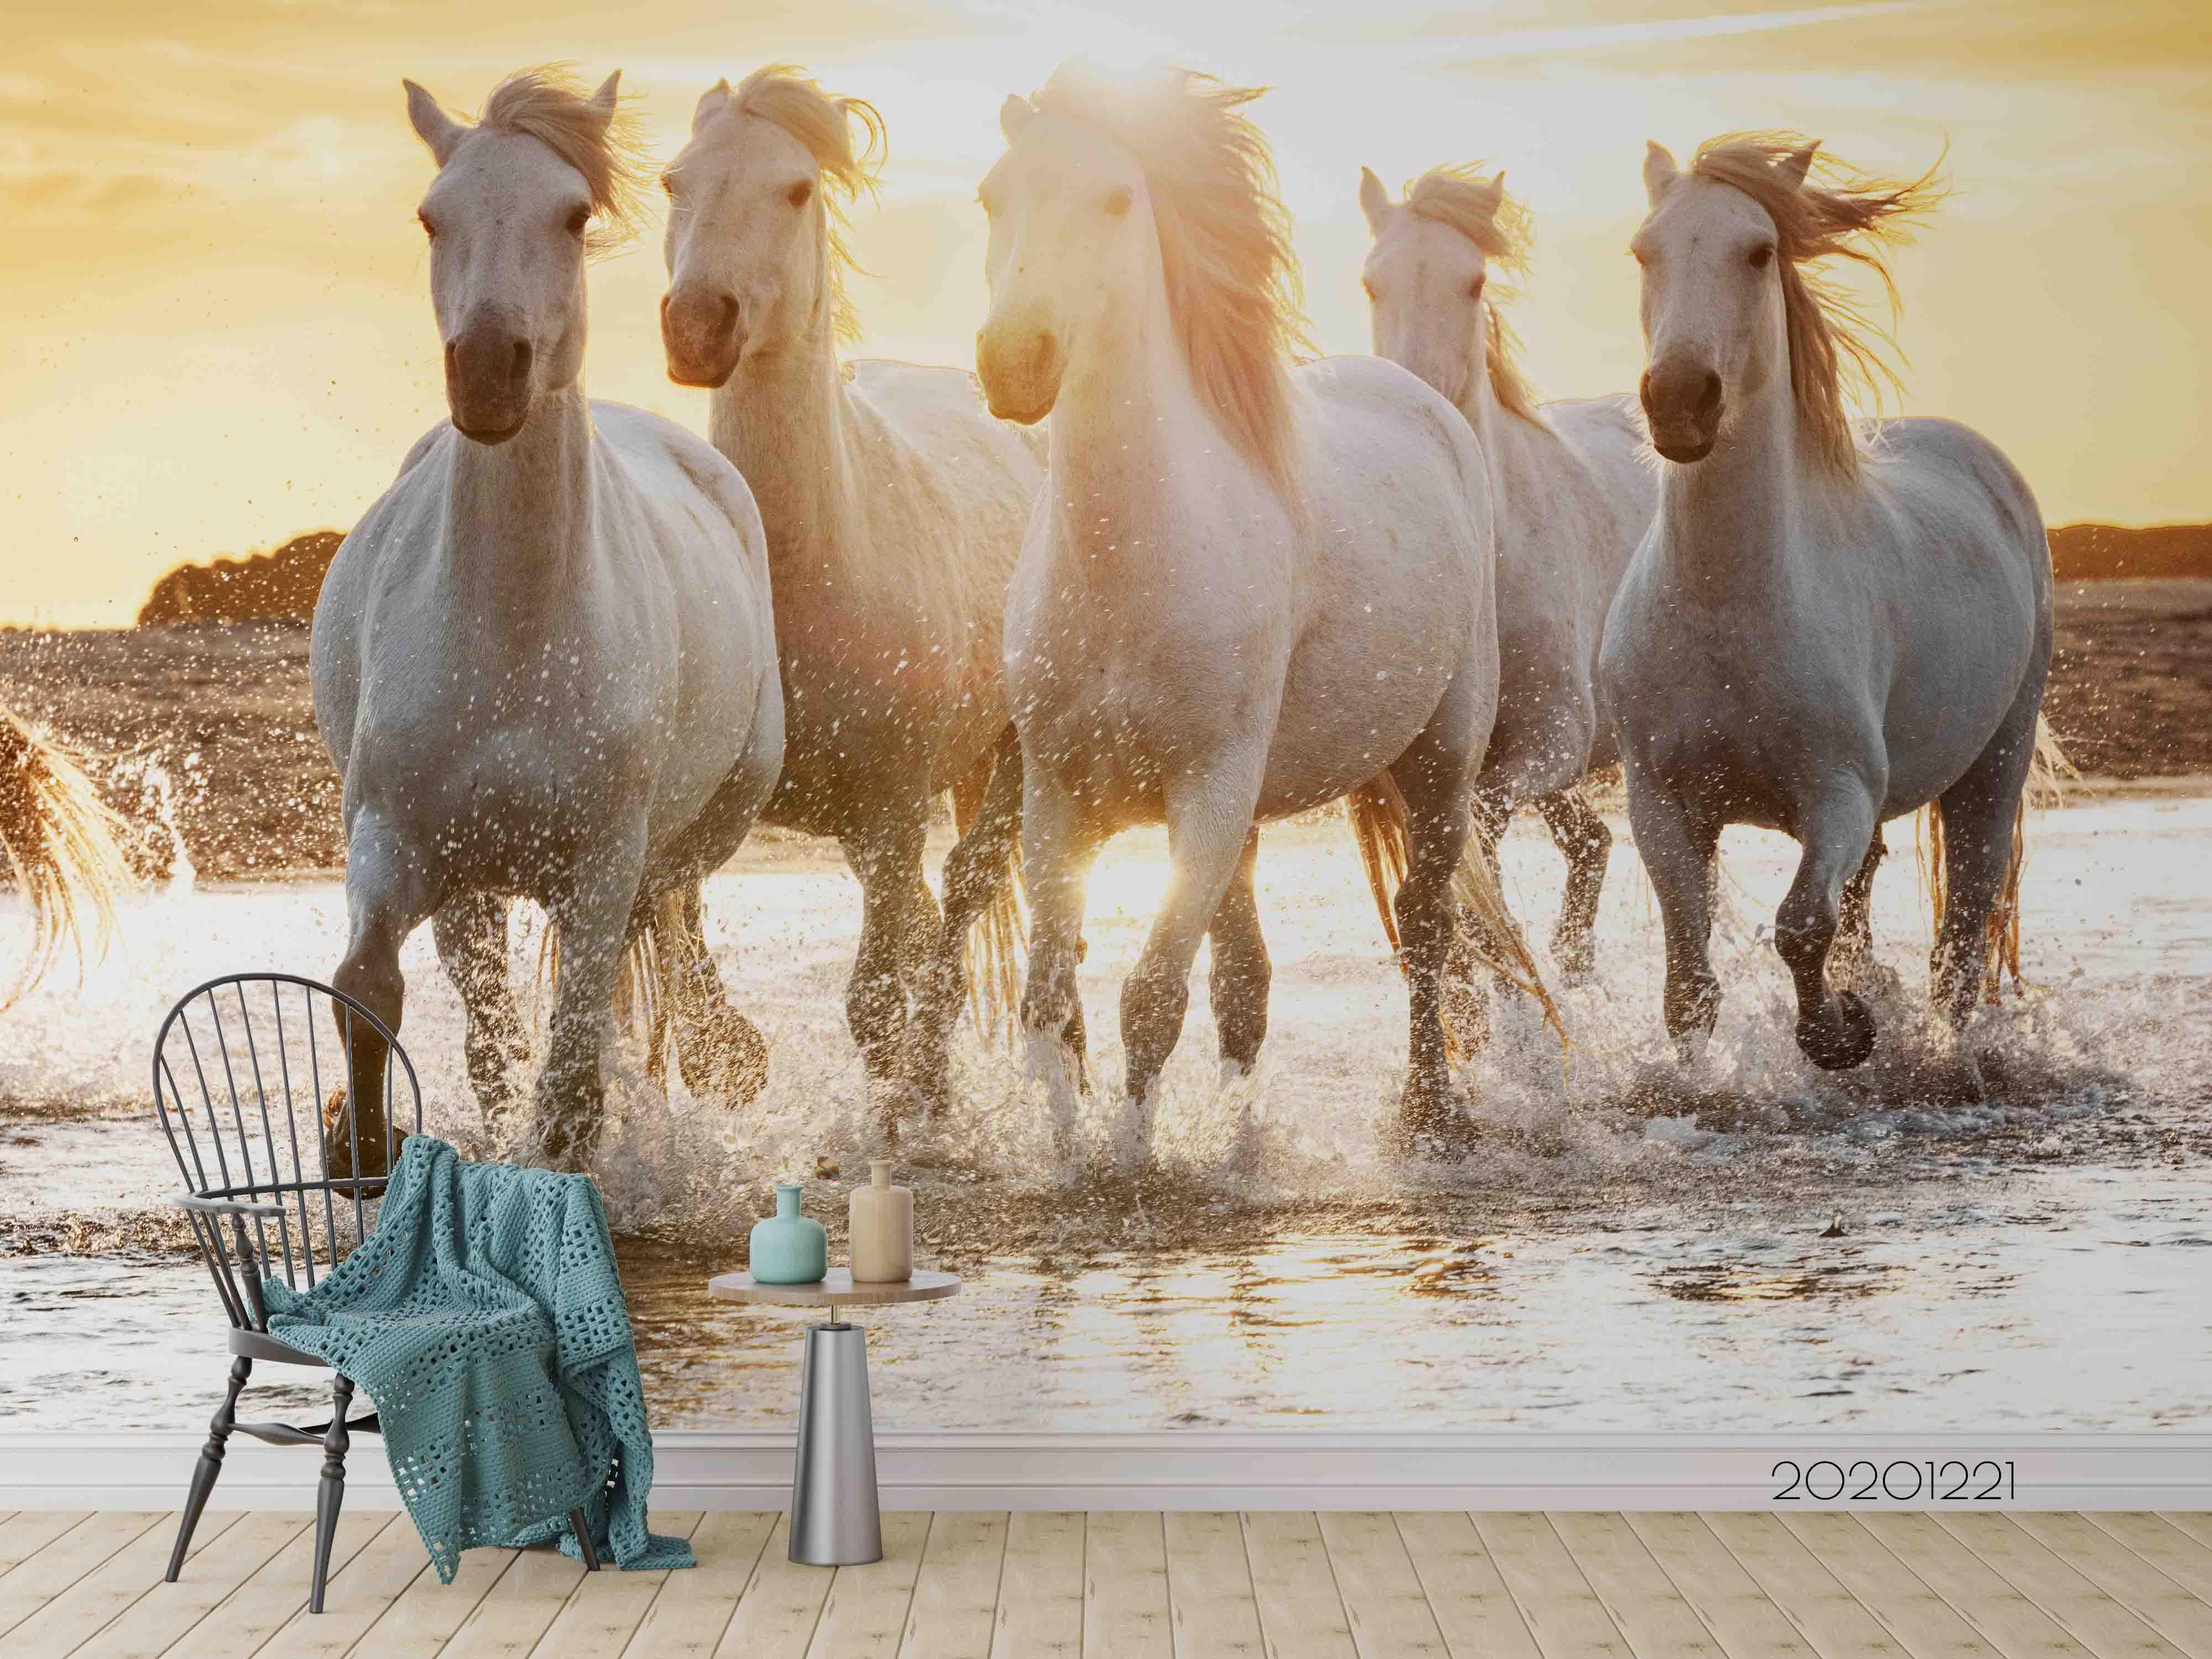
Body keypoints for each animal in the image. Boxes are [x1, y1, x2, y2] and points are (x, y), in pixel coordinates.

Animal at [312, 68, 784, 1173]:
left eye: (572, 215)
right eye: (431, 217)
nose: (491, 370)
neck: (517, 634)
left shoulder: (602, 864)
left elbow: (573, 1065)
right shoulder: (397, 838)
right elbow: (370, 988)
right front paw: (359, 1141)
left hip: (707, 818)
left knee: (672, 929)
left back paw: (719, 1053)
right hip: (475, 886)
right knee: (494, 1013)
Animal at [659, 66, 1039, 1129]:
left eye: (794, 190)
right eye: (672, 181)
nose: (696, 327)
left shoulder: (894, 805)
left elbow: (875, 1000)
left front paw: (901, 1115)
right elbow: (677, 931)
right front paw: (726, 1057)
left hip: (1000, 765)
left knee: (957, 900)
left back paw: (934, 1081)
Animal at [976, 65, 1506, 1162]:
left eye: (1116, 202)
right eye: (992, 197)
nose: (1015, 362)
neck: (1132, 563)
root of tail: (1424, 402)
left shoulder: (1210, 793)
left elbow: (1148, 998)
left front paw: (1130, 1159)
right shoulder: (1057, 798)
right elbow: (1053, 999)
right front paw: (1065, 1151)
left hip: (1442, 759)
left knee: (1425, 928)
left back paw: (1431, 1112)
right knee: (1248, 982)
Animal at [1358, 165, 1656, 987]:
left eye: (1475, 280)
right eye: (1371, 282)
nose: (1419, 402)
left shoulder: (1552, 739)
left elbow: (1482, 834)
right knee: (1591, 844)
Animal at [1599, 133, 2055, 1089]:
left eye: (1758, 251)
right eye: (1643, 251)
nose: (1680, 399)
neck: (1728, 606)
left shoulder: (1838, 792)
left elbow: (1800, 925)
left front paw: (1841, 1034)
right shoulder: (1661, 802)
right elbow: (1689, 977)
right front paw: (1700, 1082)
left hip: (1996, 761)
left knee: (1964, 933)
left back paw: (1941, 1054)